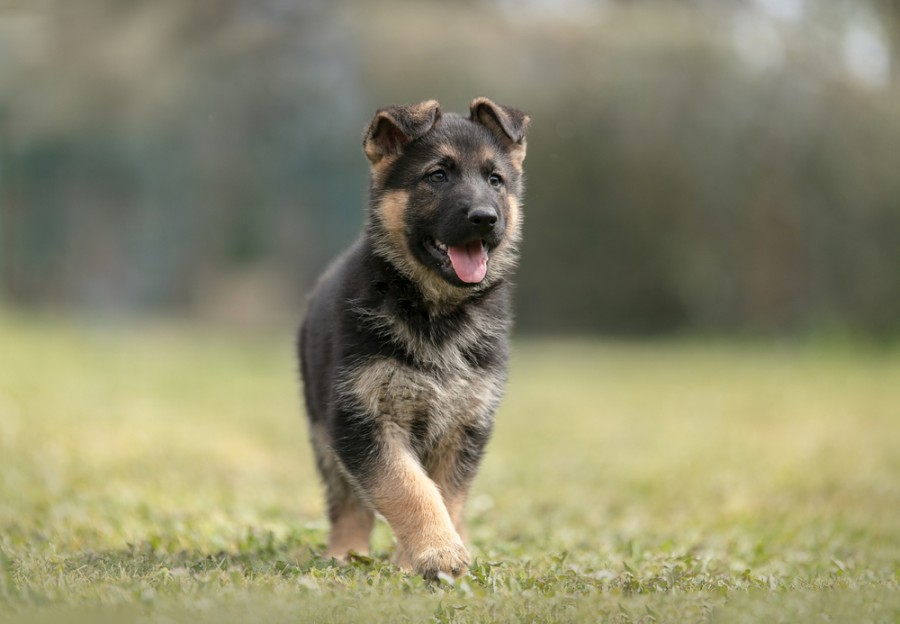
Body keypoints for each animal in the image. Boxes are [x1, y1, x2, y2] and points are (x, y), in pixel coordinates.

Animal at [298, 97, 532, 580]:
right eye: (437, 176)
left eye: (495, 180)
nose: (485, 218)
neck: (435, 311)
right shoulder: (363, 418)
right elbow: (409, 488)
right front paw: (437, 551)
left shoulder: (464, 424)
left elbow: (446, 495)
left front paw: (425, 554)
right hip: (323, 431)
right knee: (347, 504)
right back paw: (345, 554)